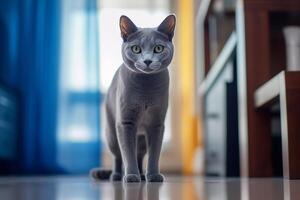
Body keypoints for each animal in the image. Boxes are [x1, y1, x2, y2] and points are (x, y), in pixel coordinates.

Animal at [91, 14, 176, 183]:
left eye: (158, 48)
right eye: (136, 49)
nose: (147, 61)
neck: (146, 89)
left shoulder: (157, 124)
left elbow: (154, 153)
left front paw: (153, 175)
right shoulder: (125, 122)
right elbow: (127, 153)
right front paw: (130, 176)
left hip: (141, 141)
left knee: (139, 155)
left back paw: (142, 175)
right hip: (111, 134)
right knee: (118, 156)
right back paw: (117, 175)